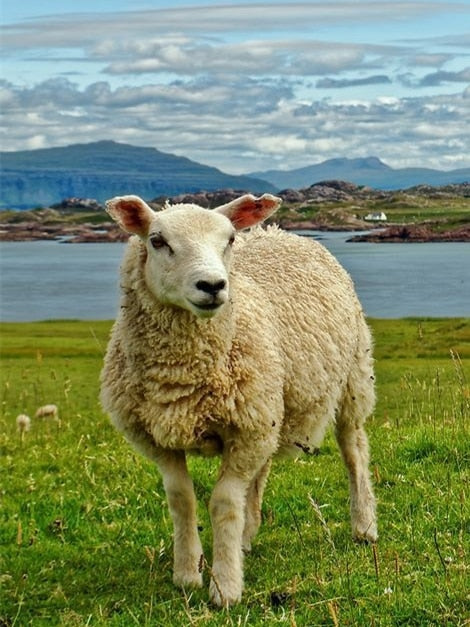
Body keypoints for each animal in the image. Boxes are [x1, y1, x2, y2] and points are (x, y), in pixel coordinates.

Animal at [100, 193, 378, 608]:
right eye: (157, 240)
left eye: (229, 239)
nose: (213, 285)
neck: (181, 378)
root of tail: (277, 230)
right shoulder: (158, 437)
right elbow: (181, 499)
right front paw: (187, 573)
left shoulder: (247, 427)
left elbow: (224, 503)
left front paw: (225, 587)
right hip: (270, 408)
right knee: (261, 470)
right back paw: (247, 536)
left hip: (352, 378)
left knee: (354, 450)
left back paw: (364, 526)